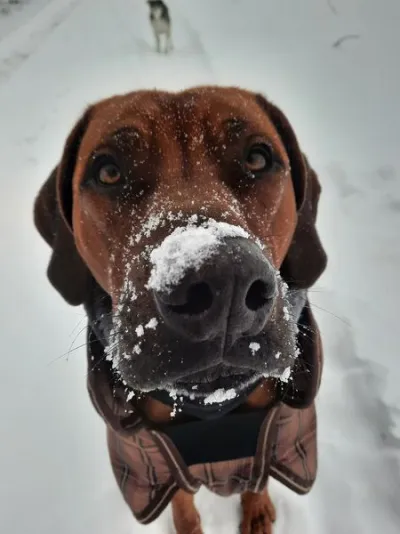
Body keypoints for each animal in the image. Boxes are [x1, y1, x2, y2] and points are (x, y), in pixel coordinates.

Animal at [33, 88, 328, 534]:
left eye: (258, 159)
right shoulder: (151, 466)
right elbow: (182, 498)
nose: (225, 282)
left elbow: (258, 477)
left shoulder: (280, 439)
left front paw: (256, 509)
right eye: (108, 172)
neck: (211, 408)